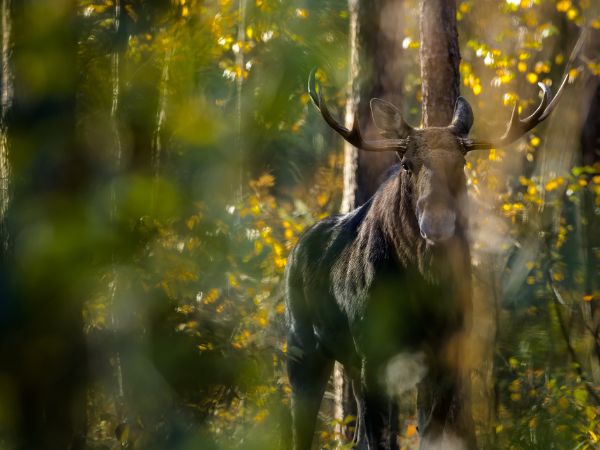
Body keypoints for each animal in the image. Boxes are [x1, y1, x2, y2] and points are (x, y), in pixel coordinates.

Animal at [284, 67, 568, 450]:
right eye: (406, 164)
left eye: (461, 163)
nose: (437, 222)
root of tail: (297, 248)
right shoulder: (373, 349)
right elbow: (379, 437)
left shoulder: (446, 350)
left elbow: (429, 432)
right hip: (301, 345)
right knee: (303, 424)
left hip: (349, 359)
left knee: (358, 430)